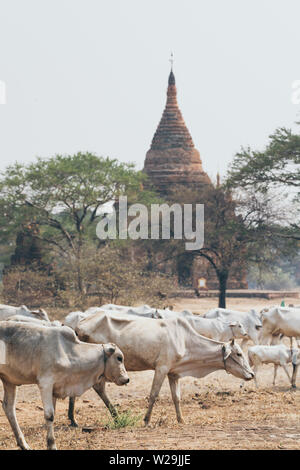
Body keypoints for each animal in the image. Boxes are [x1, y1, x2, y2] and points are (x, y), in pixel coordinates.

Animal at [0, 322, 128, 450]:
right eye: (119, 358)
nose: (127, 379)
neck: (68, 352)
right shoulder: (45, 383)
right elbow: (49, 415)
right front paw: (51, 444)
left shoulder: (55, 388)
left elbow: (54, 412)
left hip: (9, 381)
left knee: (9, 407)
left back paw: (23, 444)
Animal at [70, 312, 253, 426]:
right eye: (238, 353)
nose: (251, 374)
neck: (185, 340)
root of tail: (79, 325)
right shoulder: (161, 368)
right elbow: (153, 394)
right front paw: (146, 420)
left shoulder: (173, 374)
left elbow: (176, 397)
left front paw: (181, 420)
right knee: (98, 387)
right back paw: (115, 416)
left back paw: (73, 420)